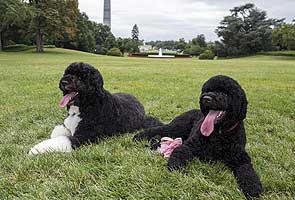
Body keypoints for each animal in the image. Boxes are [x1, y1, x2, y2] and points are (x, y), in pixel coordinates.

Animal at [29, 62, 163, 155]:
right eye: (66, 73)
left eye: (80, 77)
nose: (63, 82)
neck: (87, 106)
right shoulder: (69, 126)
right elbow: (58, 132)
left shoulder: (85, 136)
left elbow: (63, 139)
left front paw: (36, 149)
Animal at [134, 75, 264, 198]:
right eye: (207, 90)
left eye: (224, 93)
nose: (206, 99)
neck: (218, 133)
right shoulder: (189, 146)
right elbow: (179, 153)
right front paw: (175, 167)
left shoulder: (241, 158)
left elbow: (248, 172)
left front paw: (253, 188)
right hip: (176, 128)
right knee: (158, 129)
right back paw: (138, 137)